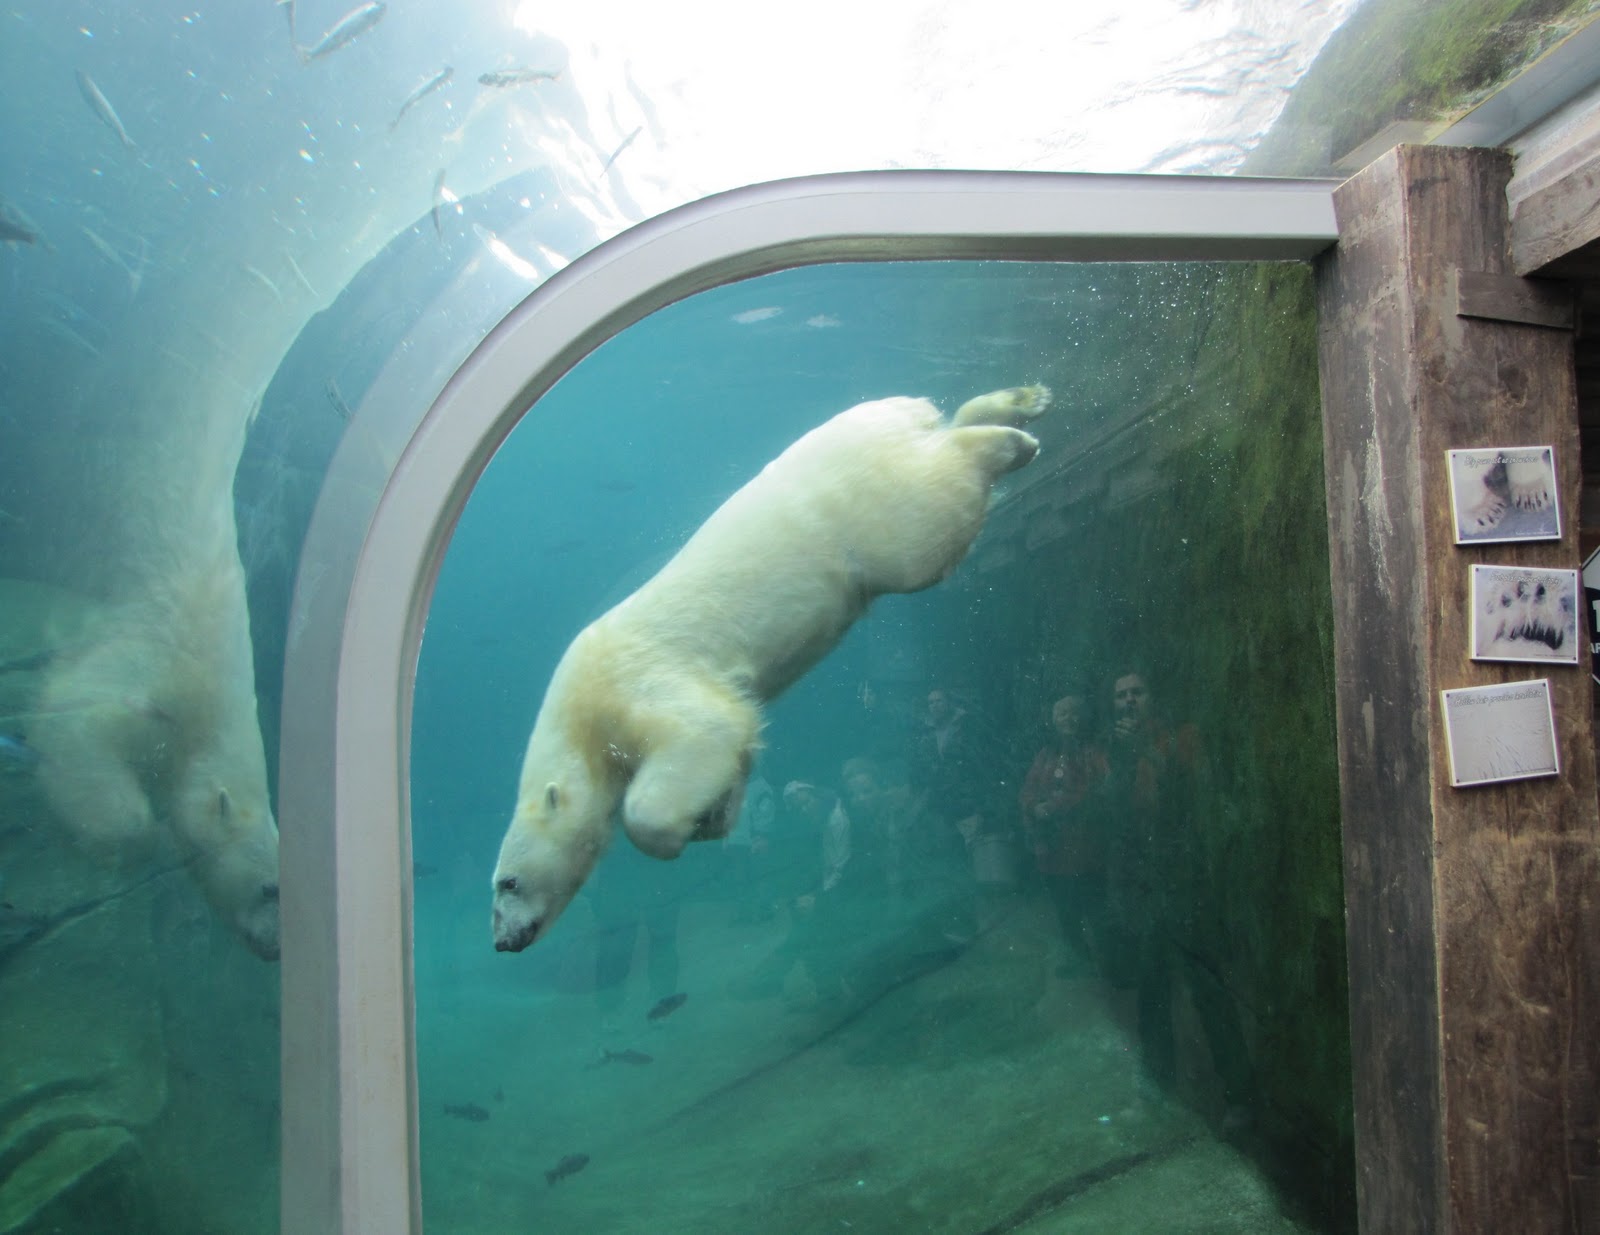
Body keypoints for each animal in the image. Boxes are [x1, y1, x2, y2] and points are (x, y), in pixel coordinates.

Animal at [491, 384, 1051, 952]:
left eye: (507, 882)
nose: (503, 941)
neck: (578, 714)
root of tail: (895, 412)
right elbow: (732, 742)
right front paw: (719, 809)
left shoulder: (633, 682)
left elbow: (702, 731)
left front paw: (681, 827)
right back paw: (1018, 405)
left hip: (868, 516)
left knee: (930, 515)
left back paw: (1010, 439)